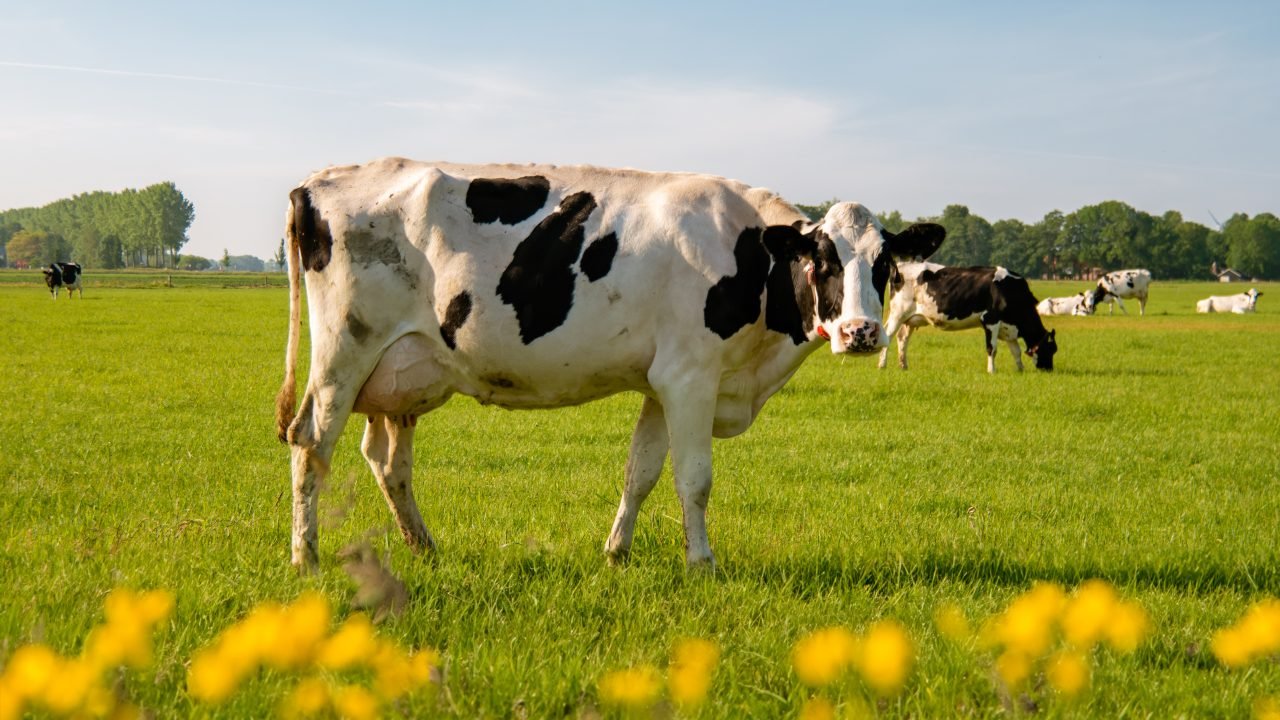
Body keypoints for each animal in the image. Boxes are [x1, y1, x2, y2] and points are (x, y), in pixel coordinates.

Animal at [274, 158, 947, 570]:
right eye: (822, 261)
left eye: (884, 263)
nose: (862, 333)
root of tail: (316, 182)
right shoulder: (691, 378)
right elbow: (694, 479)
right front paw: (701, 562)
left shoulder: (660, 383)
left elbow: (640, 473)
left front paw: (616, 552)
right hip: (344, 351)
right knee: (311, 442)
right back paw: (306, 557)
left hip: (401, 374)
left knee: (387, 461)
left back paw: (424, 547)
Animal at [878, 263, 1057, 373]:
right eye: (1050, 349)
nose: (1049, 369)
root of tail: (900, 267)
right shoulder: (990, 320)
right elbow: (992, 348)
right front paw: (991, 371)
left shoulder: (1008, 328)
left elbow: (1016, 351)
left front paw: (1020, 370)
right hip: (898, 313)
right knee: (888, 336)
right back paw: (882, 365)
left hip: (910, 318)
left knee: (902, 338)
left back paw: (903, 365)